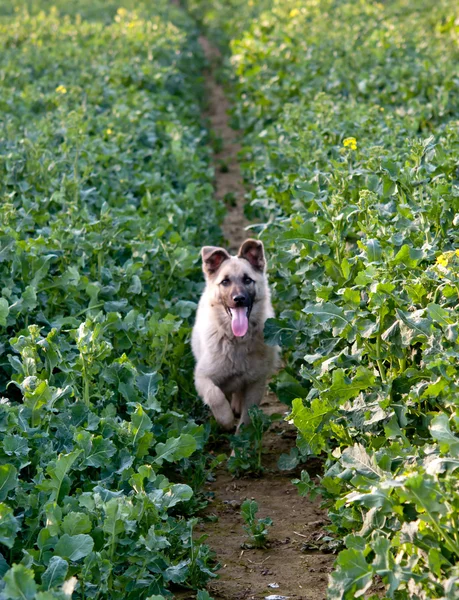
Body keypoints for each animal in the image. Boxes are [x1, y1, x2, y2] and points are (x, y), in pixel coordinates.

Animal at [191, 239, 278, 432]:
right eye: (225, 281)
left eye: (247, 280)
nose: (239, 299)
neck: (237, 340)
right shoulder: (202, 377)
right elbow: (215, 395)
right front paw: (226, 420)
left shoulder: (256, 382)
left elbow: (248, 415)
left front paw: (242, 436)